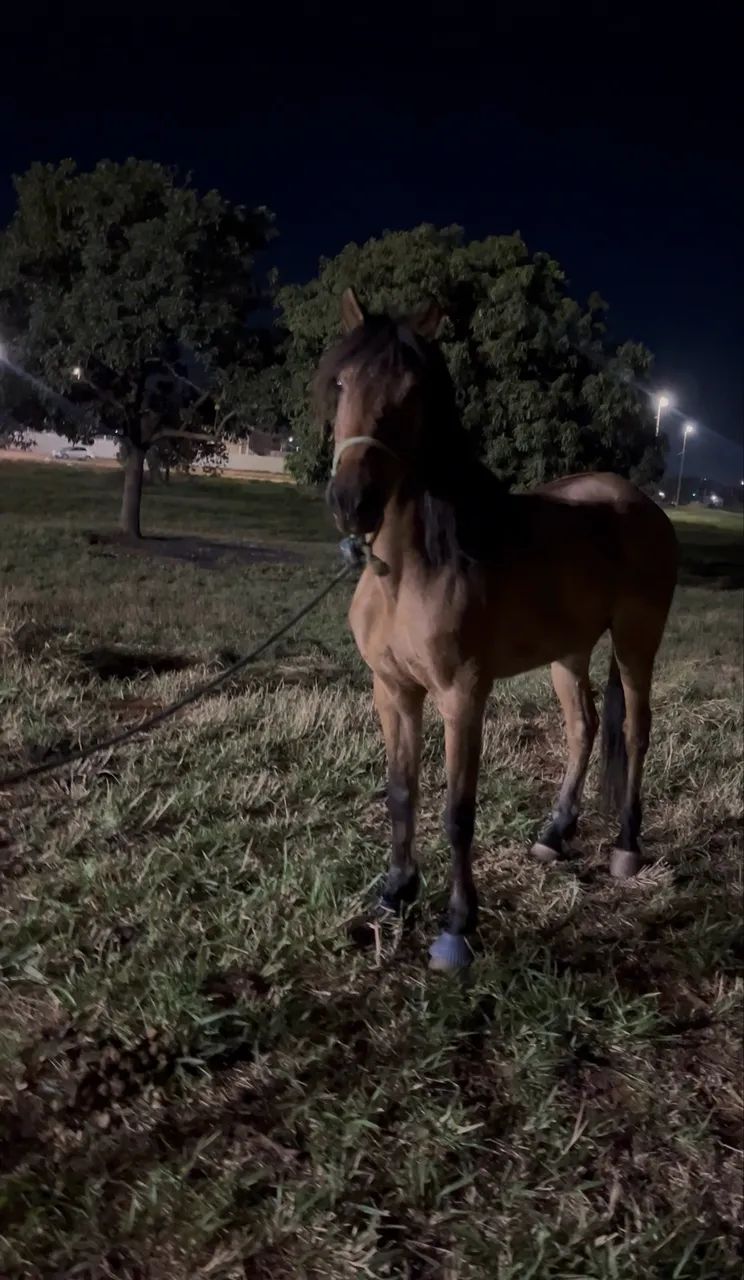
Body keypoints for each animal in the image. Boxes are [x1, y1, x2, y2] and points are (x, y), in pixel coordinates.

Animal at [321, 287, 678, 971]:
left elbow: (458, 812)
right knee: (583, 728)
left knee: (636, 730)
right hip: (567, 652)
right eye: (342, 380)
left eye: (412, 390)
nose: (352, 502)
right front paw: (395, 895)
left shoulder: (462, 696)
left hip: (635, 641)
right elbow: (401, 793)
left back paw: (626, 846)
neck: (411, 569)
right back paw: (554, 835)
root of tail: (641, 503)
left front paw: (457, 926)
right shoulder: (393, 690)